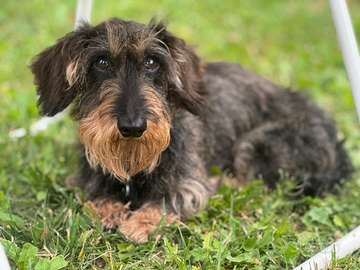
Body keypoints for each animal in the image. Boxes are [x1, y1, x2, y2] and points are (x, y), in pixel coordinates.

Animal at [30, 18, 352, 243]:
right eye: (101, 62)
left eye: (152, 62)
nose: (132, 127)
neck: (134, 163)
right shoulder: (88, 179)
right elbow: (94, 196)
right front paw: (110, 211)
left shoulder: (190, 185)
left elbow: (169, 200)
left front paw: (139, 223)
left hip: (257, 142)